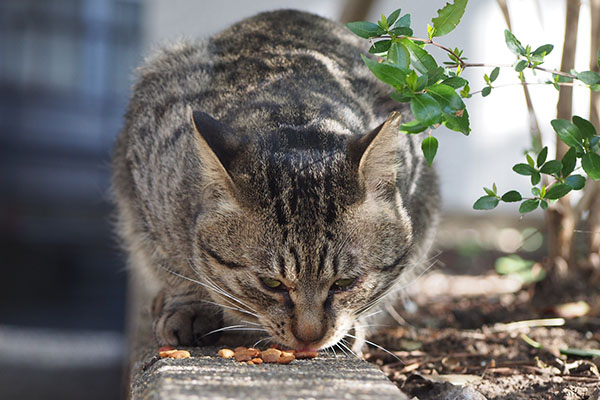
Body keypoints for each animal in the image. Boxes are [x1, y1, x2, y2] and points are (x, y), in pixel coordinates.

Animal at [113, 9, 440, 352]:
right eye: (271, 283)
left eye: (345, 283)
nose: (310, 337)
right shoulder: (144, 190)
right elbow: (171, 262)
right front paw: (188, 305)